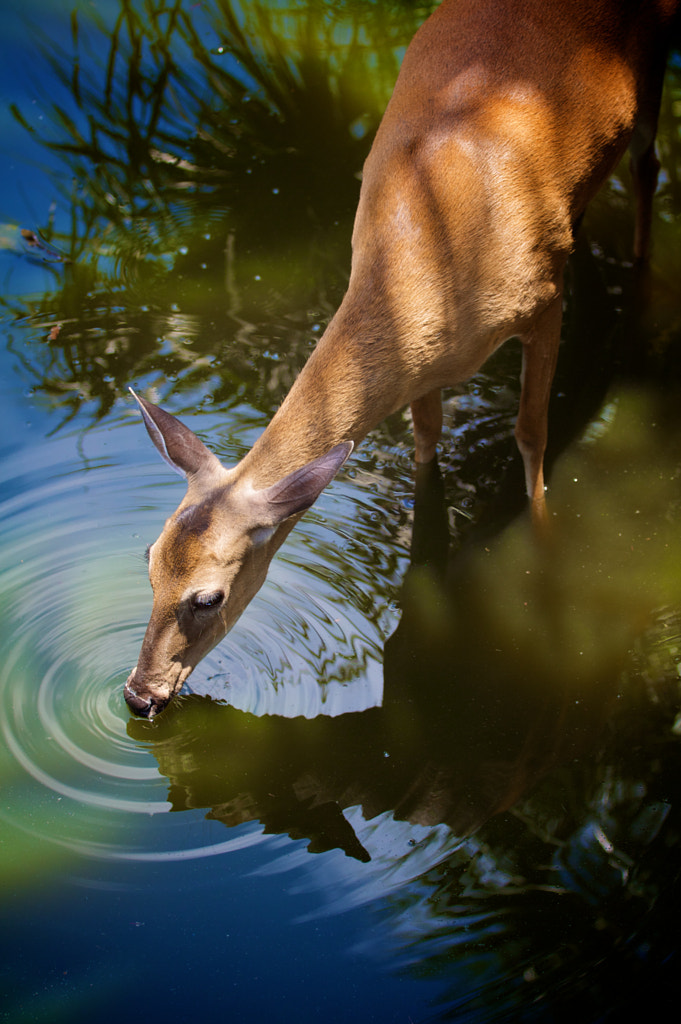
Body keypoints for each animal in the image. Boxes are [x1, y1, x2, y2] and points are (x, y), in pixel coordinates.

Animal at [124, 0, 678, 718]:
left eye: (208, 597)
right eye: (148, 557)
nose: (138, 695)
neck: (432, 261)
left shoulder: (540, 303)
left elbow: (531, 433)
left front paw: (547, 552)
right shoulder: (423, 368)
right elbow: (424, 443)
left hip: (653, 74)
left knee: (649, 166)